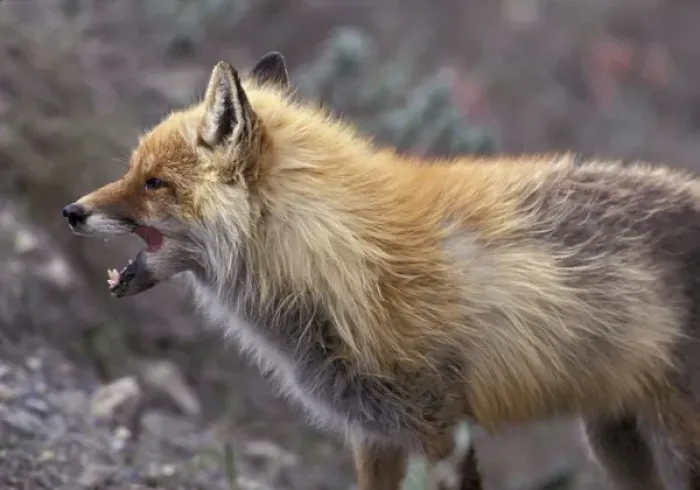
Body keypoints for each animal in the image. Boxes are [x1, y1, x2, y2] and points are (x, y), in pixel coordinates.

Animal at [62, 51, 700, 490]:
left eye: (154, 183)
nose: (71, 211)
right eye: (133, 170)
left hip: (672, 442)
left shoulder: (442, 430)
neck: (339, 258)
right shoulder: (373, 432)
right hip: (615, 438)